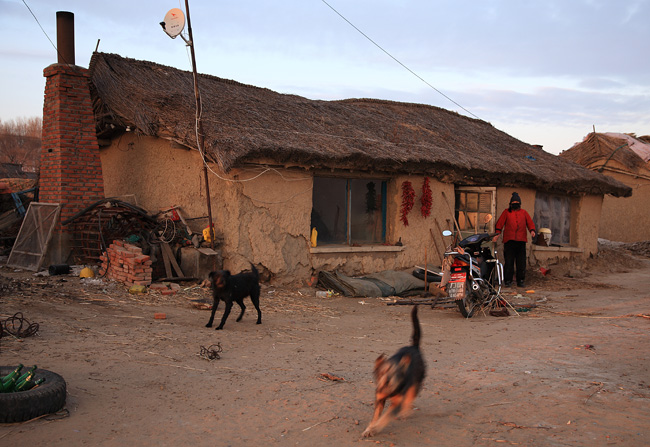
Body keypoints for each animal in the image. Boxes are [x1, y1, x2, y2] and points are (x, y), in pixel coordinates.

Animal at [360, 304, 426, 438]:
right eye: (383, 372)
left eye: (396, 373)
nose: (387, 381)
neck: (389, 390)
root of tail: (414, 347)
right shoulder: (379, 399)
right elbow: (375, 417)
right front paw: (369, 428)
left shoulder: (397, 403)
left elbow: (384, 418)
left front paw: (375, 429)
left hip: (416, 382)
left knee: (410, 397)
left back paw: (405, 412)